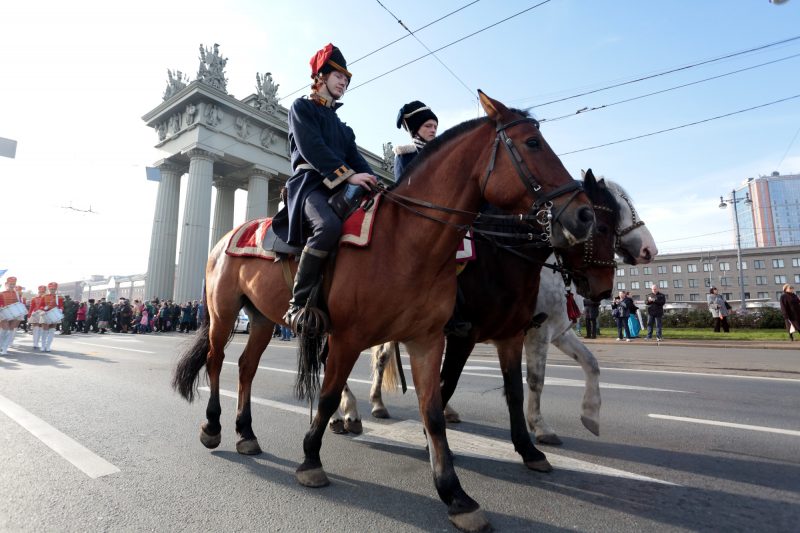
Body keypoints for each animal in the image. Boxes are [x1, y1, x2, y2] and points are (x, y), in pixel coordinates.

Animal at [173, 91, 592, 532]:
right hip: (223, 314)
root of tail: (226, 237)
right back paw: (214, 426)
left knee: (246, 367)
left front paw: (456, 494)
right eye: (533, 143)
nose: (584, 214)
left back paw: (246, 433)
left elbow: (435, 410)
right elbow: (328, 395)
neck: (405, 241)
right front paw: (311, 459)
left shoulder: (430, 340)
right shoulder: (348, 337)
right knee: (216, 360)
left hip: (262, 321)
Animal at [330, 177, 656, 438]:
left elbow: (591, 363)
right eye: (604, 222)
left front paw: (590, 415)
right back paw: (345, 412)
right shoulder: (535, 332)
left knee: (381, 357)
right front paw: (540, 426)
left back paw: (378, 403)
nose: (648, 250)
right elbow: (536, 380)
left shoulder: (558, 332)